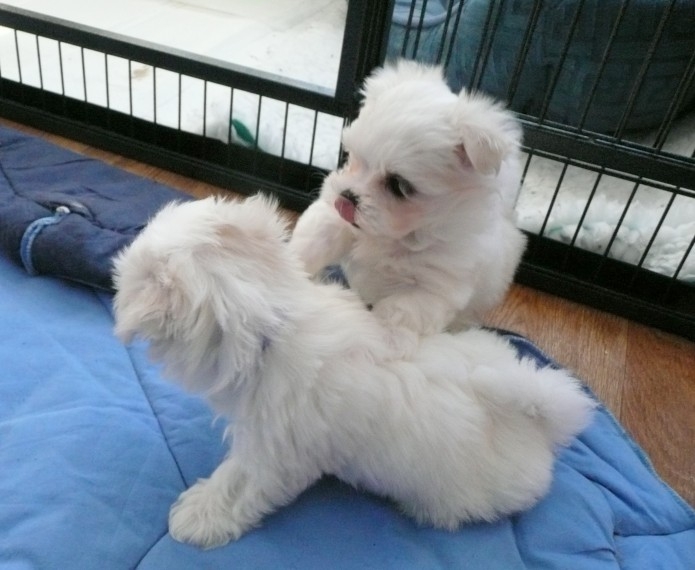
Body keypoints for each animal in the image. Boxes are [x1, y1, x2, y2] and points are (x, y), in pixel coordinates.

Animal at [290, 60, 528, 350]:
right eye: (351, 157)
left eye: (399, 186)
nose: (346, 197)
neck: (398, 236)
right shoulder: (334, 216)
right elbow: (318, 236)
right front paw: (292, 264)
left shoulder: (433, 288)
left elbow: (399, 312)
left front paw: (380, 340)